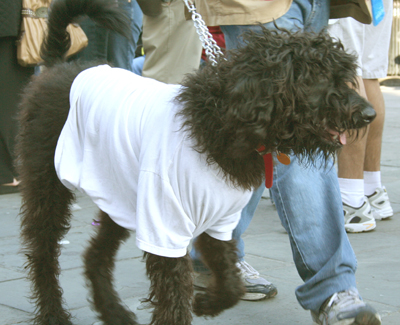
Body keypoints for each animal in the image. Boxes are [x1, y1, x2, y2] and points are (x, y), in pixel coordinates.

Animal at [16, 0, 378, 322]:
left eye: (342, 74)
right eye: (318, 76)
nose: (369, 114)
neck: (219, 122)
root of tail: (56, 68)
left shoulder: (219, 223)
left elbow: (230, 283)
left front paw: (206, 302)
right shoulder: (165, 227)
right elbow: (175, 299)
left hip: (119, 196)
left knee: (94, 255)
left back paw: (113, 312)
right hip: (49, 188)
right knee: (43, 254)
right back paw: (53, 314)